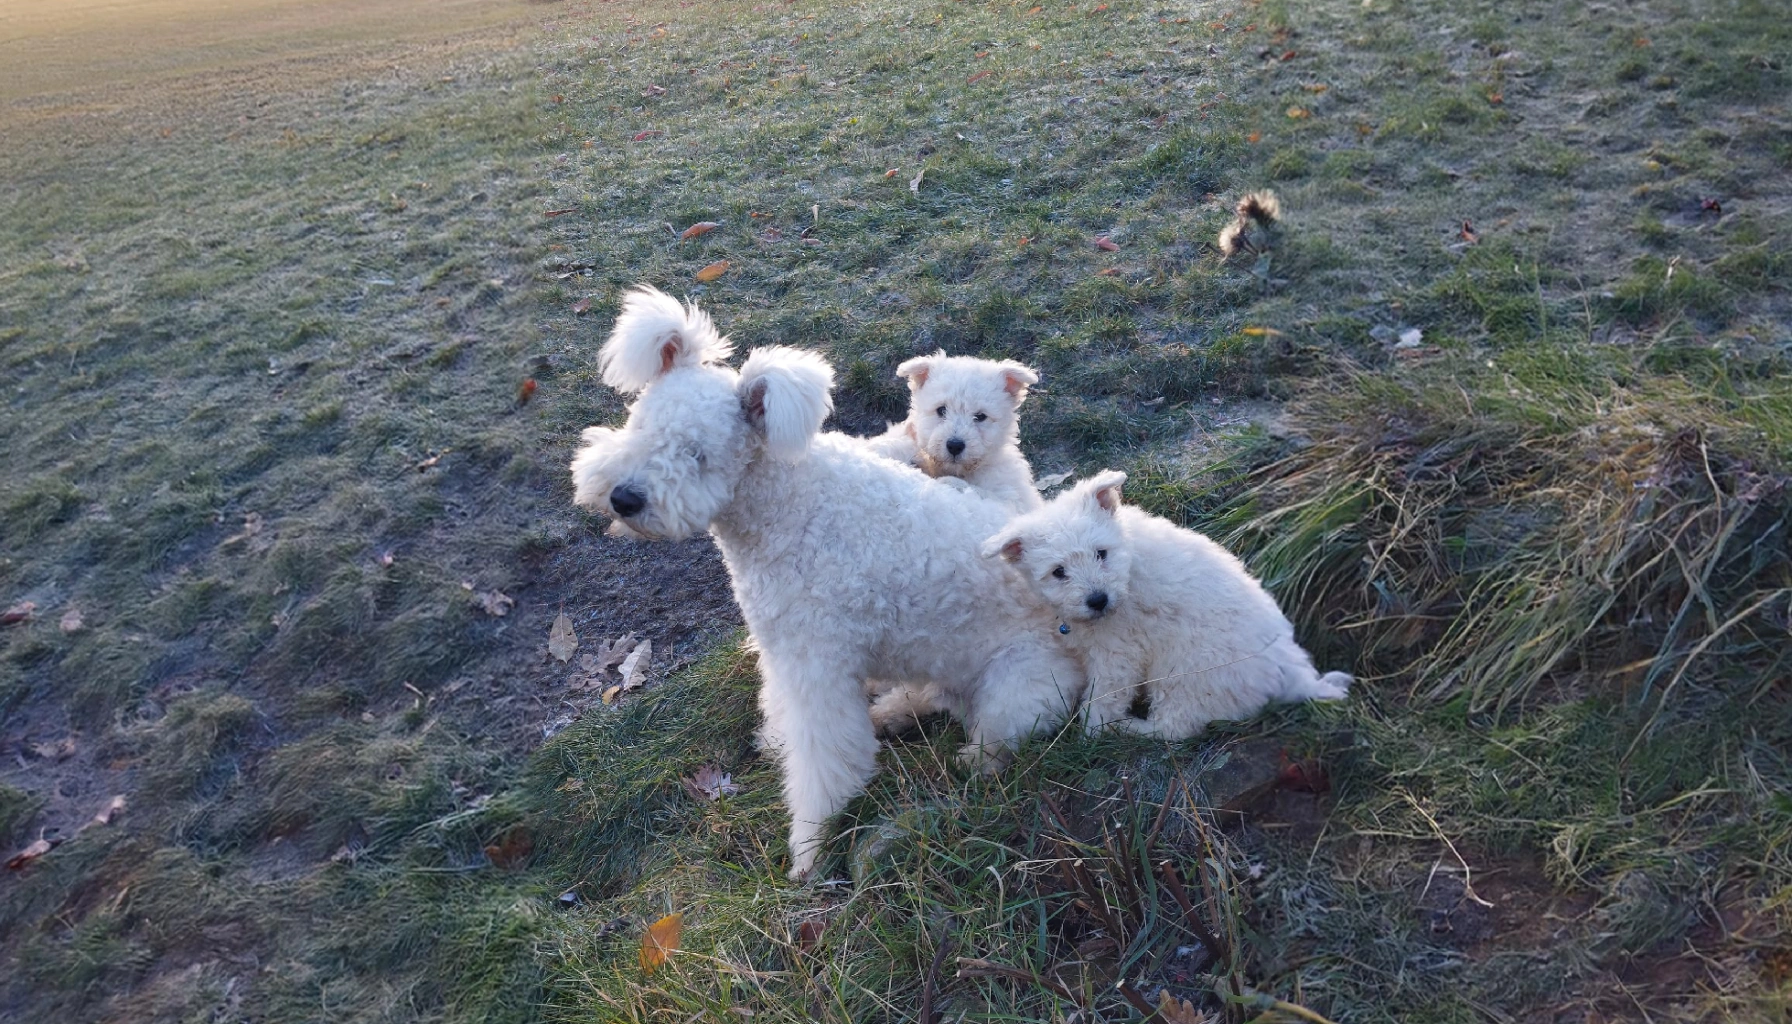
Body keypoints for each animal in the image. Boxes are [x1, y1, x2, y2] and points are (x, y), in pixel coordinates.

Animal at [982, 469, 1347, 742]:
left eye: (1101, 553)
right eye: (1058, 572)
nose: (1098, 600)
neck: (1128, 566)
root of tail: (1289, 672)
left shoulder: (1118, 652)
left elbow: (1104, 696)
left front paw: (1089, 733)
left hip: (1186, 672)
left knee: (1175, 728)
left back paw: (1131, 729)